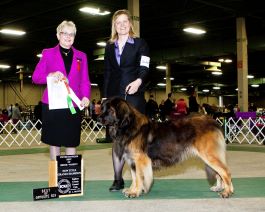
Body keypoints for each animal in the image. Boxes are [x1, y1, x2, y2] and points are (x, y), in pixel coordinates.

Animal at [97, 97, 233, 198]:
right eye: (103, 108)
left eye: (110, 110)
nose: (97, 118)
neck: (128, 125)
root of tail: (213, 122)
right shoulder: (132, 160)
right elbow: (135, 178)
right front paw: (132, 190)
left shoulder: (140, 159)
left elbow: (140, 177)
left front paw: (135, 192)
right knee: (219, 172)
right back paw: (219, 187)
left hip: (209, 155)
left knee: (225, 171)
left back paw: (227, 192)